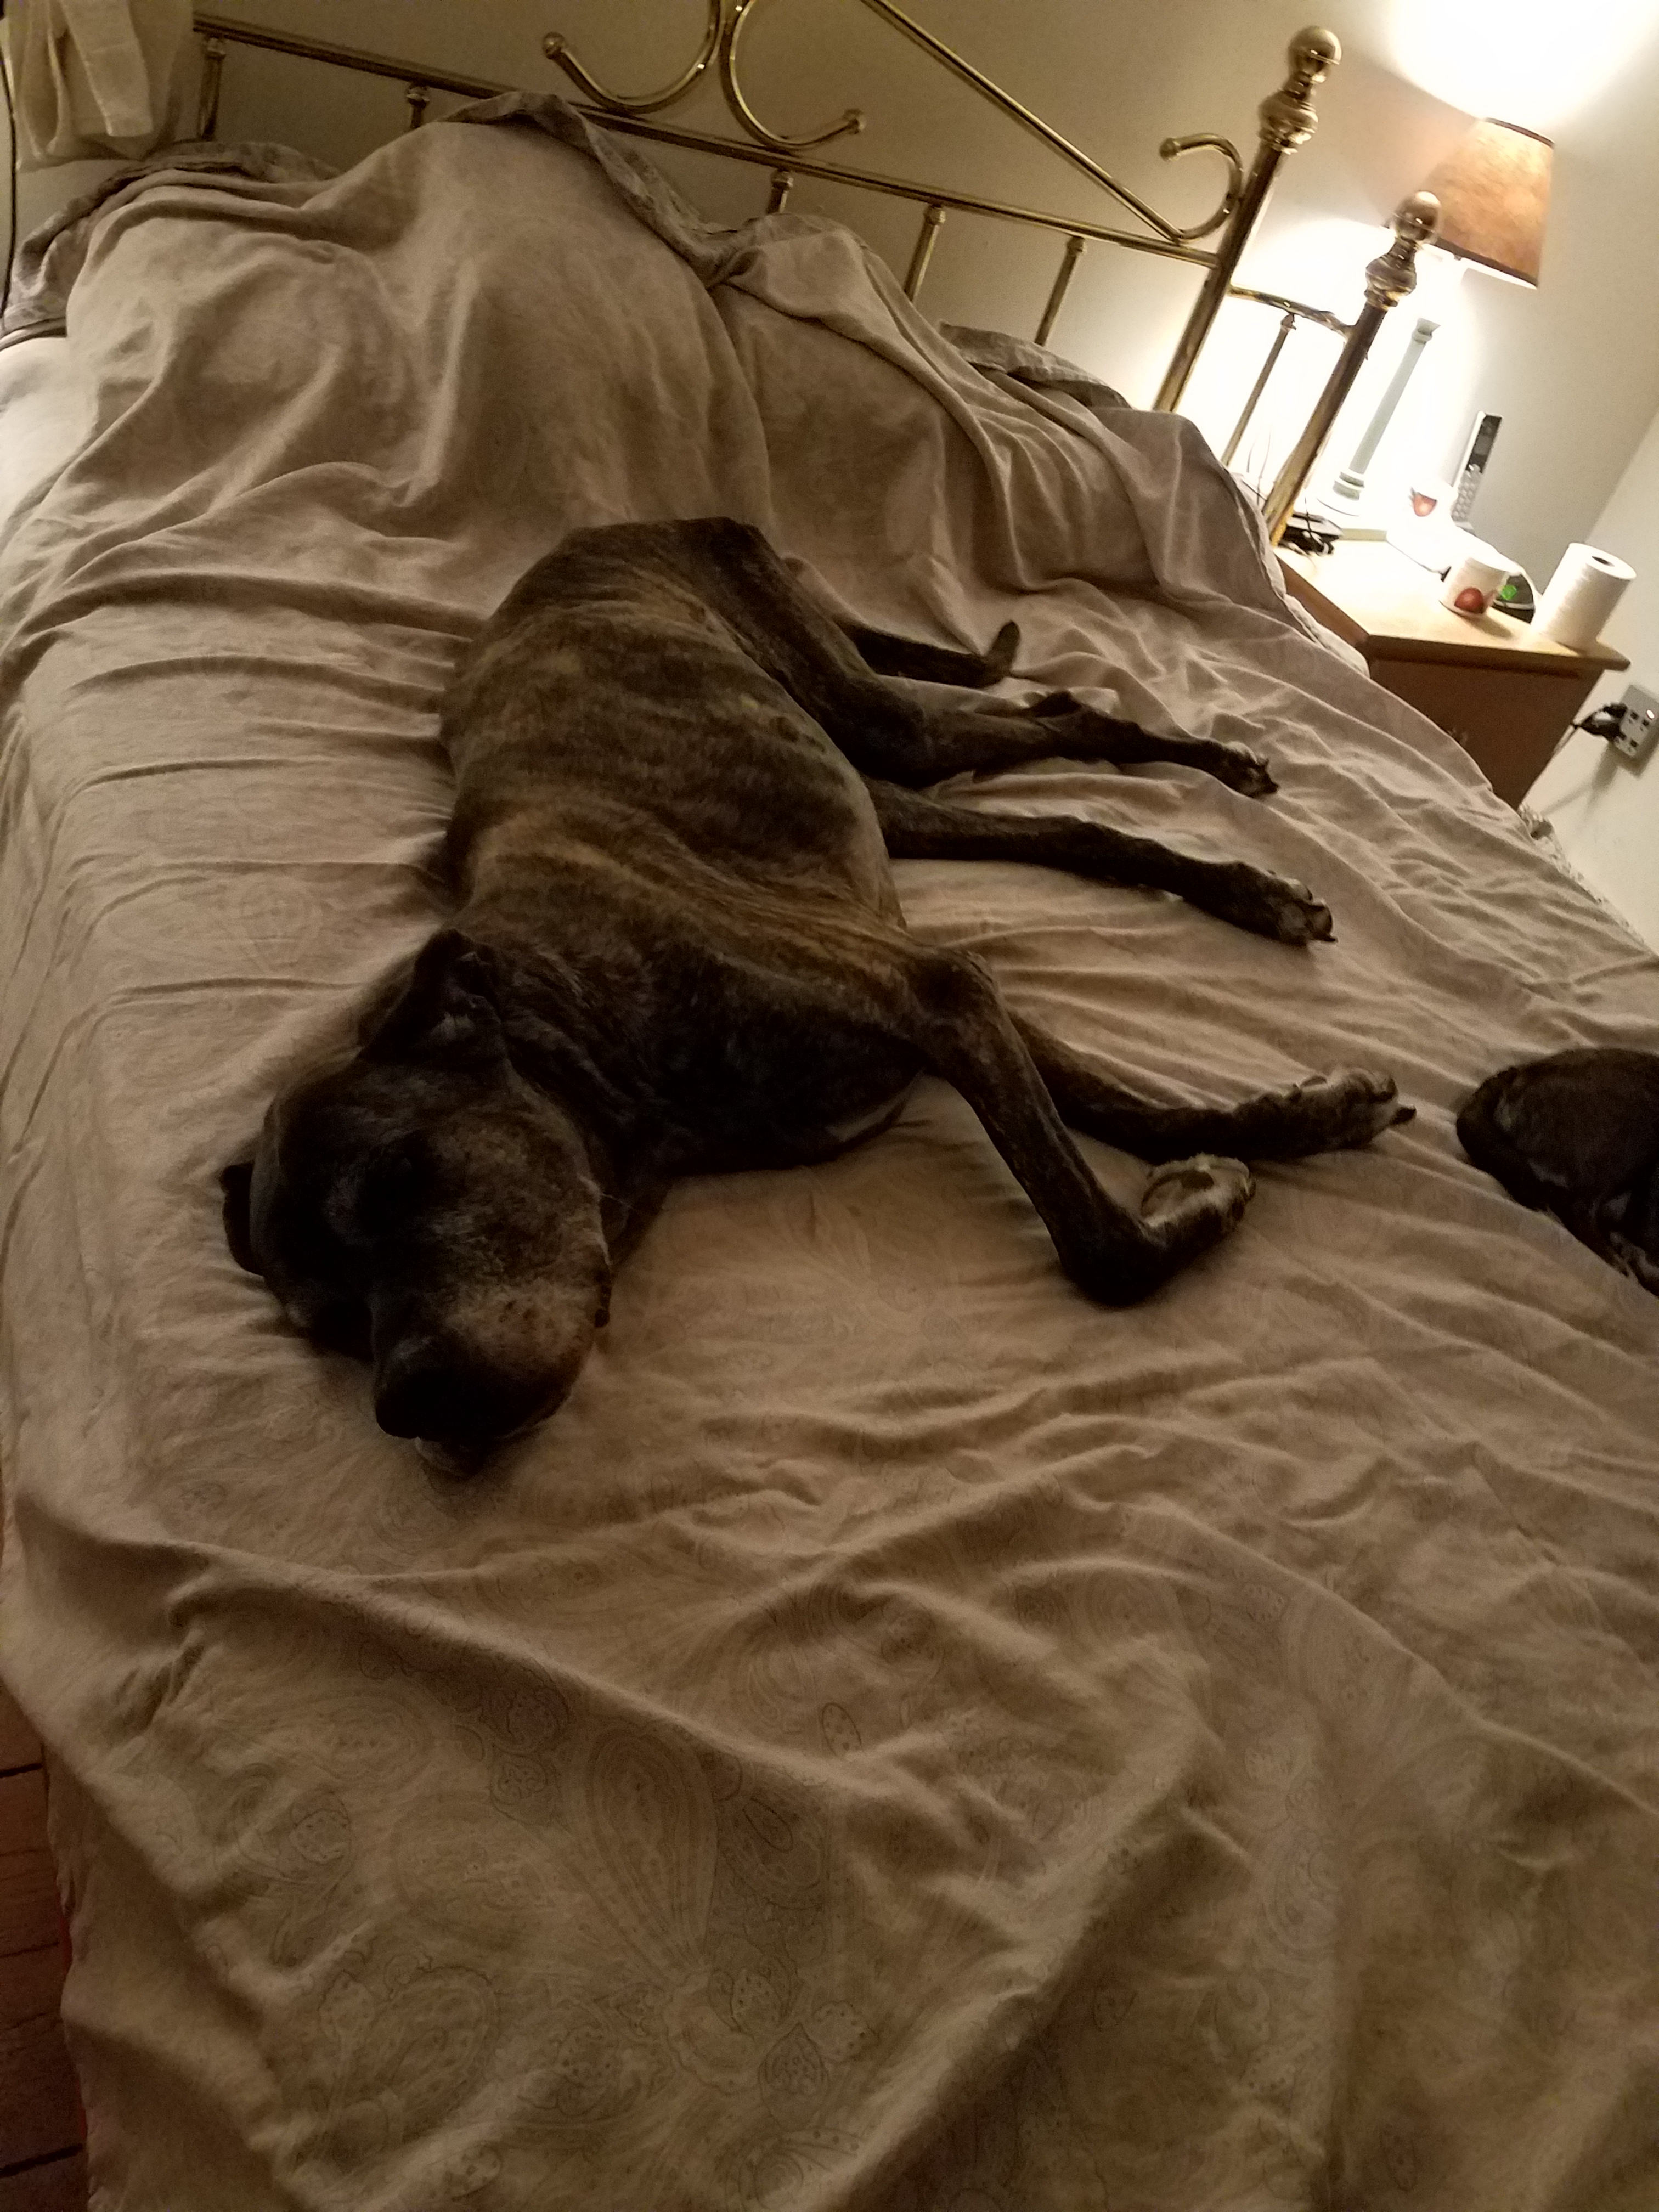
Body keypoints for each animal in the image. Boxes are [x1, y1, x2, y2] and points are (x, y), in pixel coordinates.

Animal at [223, 517, 1412, 1460]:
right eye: (327, 1325)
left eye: (401, 1178)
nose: (408, 1413)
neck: (573, 1014)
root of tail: (618, 522)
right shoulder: (951, 995)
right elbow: (1133, 1107)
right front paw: (1298, 1121)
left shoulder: (928, 993)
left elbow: (1102, 1245)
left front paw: (1199, 1192)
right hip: (886, 792)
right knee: (1071, 814)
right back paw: (1249, 886)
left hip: (874, 713)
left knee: (1071, 720)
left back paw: (1225, 782)